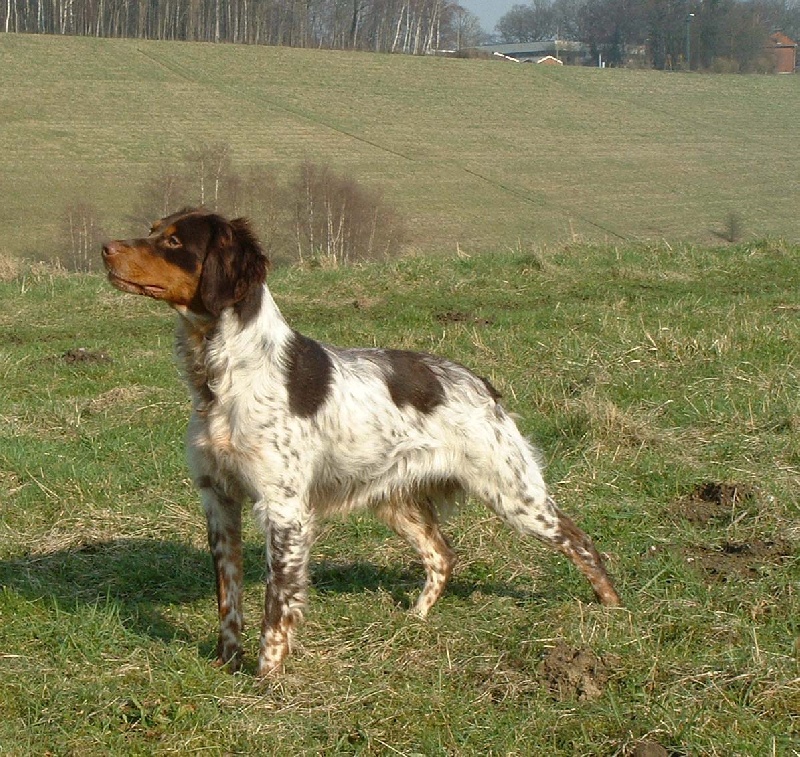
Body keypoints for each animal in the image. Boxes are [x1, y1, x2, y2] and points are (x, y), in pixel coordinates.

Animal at [100, 210, 620, 676]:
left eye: (173, 241)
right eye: (152, 230)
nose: (105, 248)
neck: (222, 376)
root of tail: (481, 383)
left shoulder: (283, 510)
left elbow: (277, 603)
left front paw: (267, 678)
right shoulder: (218, 499)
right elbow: (229, 598)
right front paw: (227, 664)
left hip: (513, 494)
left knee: (580, 541)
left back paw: (613, 607)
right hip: (397, 501)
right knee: (442, 554)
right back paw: (416, 616)